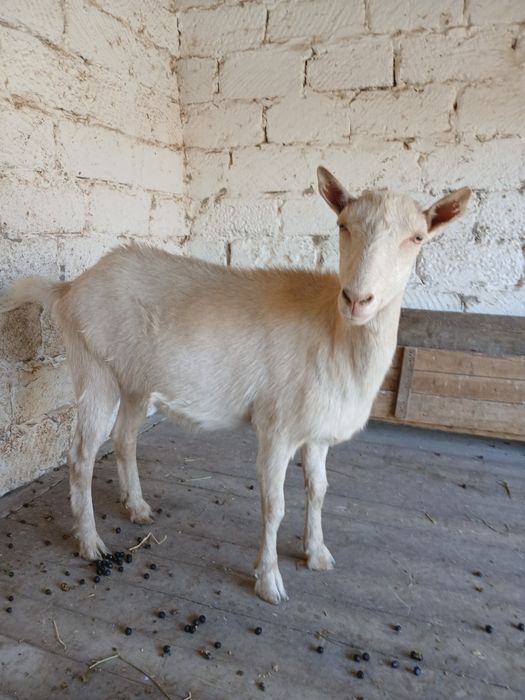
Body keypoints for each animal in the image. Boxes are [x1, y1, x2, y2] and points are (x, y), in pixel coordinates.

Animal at [0, 167, 470, 603]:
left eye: (417, 238)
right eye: (343, 226)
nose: (357, 299)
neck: (334, 332)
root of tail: (68, 289)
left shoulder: (316, 430)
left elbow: (318, 491)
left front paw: (317, 554)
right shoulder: (276, 426)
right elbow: (274, 505)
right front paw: (269, 582)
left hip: (134, 378)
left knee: (125, 437)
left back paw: (137, 508)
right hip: (94, 366)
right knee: (80, 454)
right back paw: (91, 542)